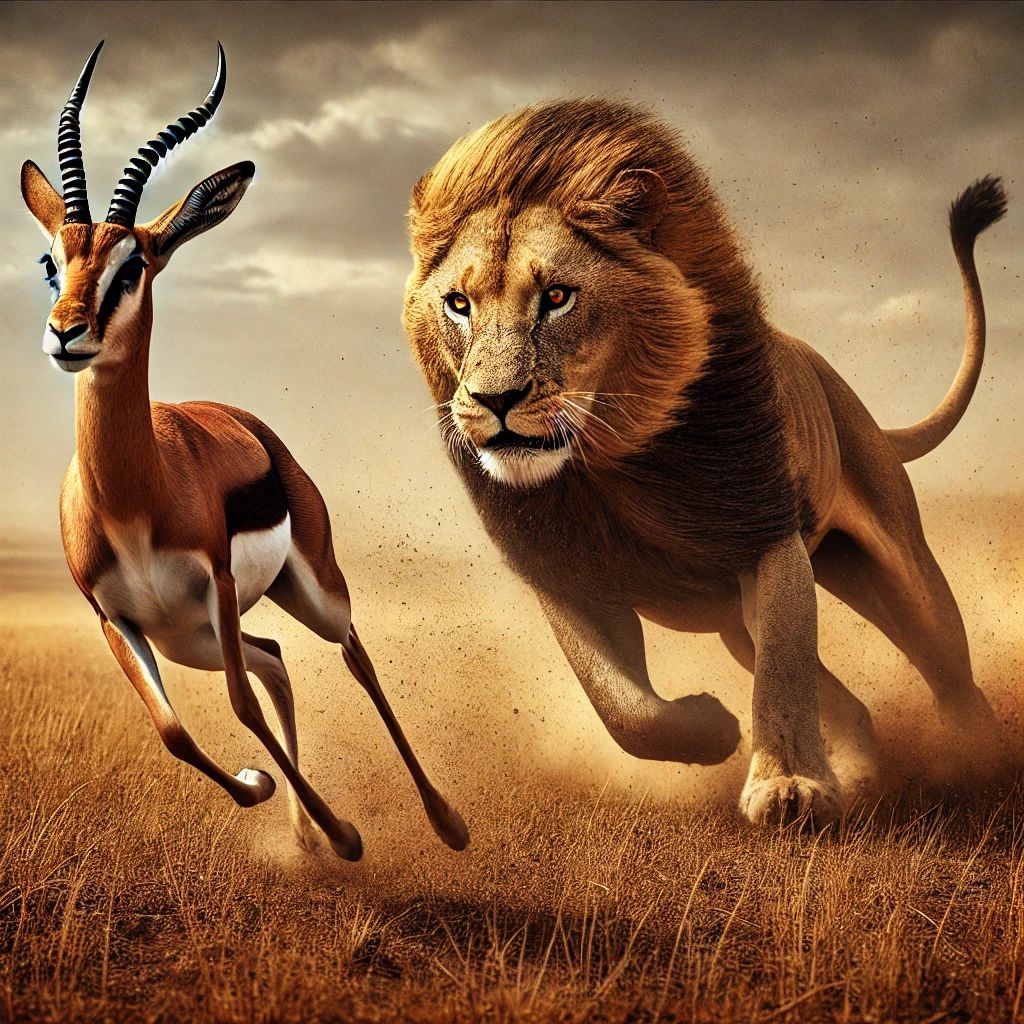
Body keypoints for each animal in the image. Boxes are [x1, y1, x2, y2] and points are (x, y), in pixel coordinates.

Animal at [402, 99, 1014, 824]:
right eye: (458, 305)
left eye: (556, 297)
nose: (495, 400)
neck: (611, 466)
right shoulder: (568, 576)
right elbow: (621, 707)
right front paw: (710, 729)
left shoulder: (768, 541)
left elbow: (783, 673)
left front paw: (787, 786)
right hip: (739, 627)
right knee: (844, 700)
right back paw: (864, 777)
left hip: (902, 573)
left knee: (952, 679)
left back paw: (978, 764)